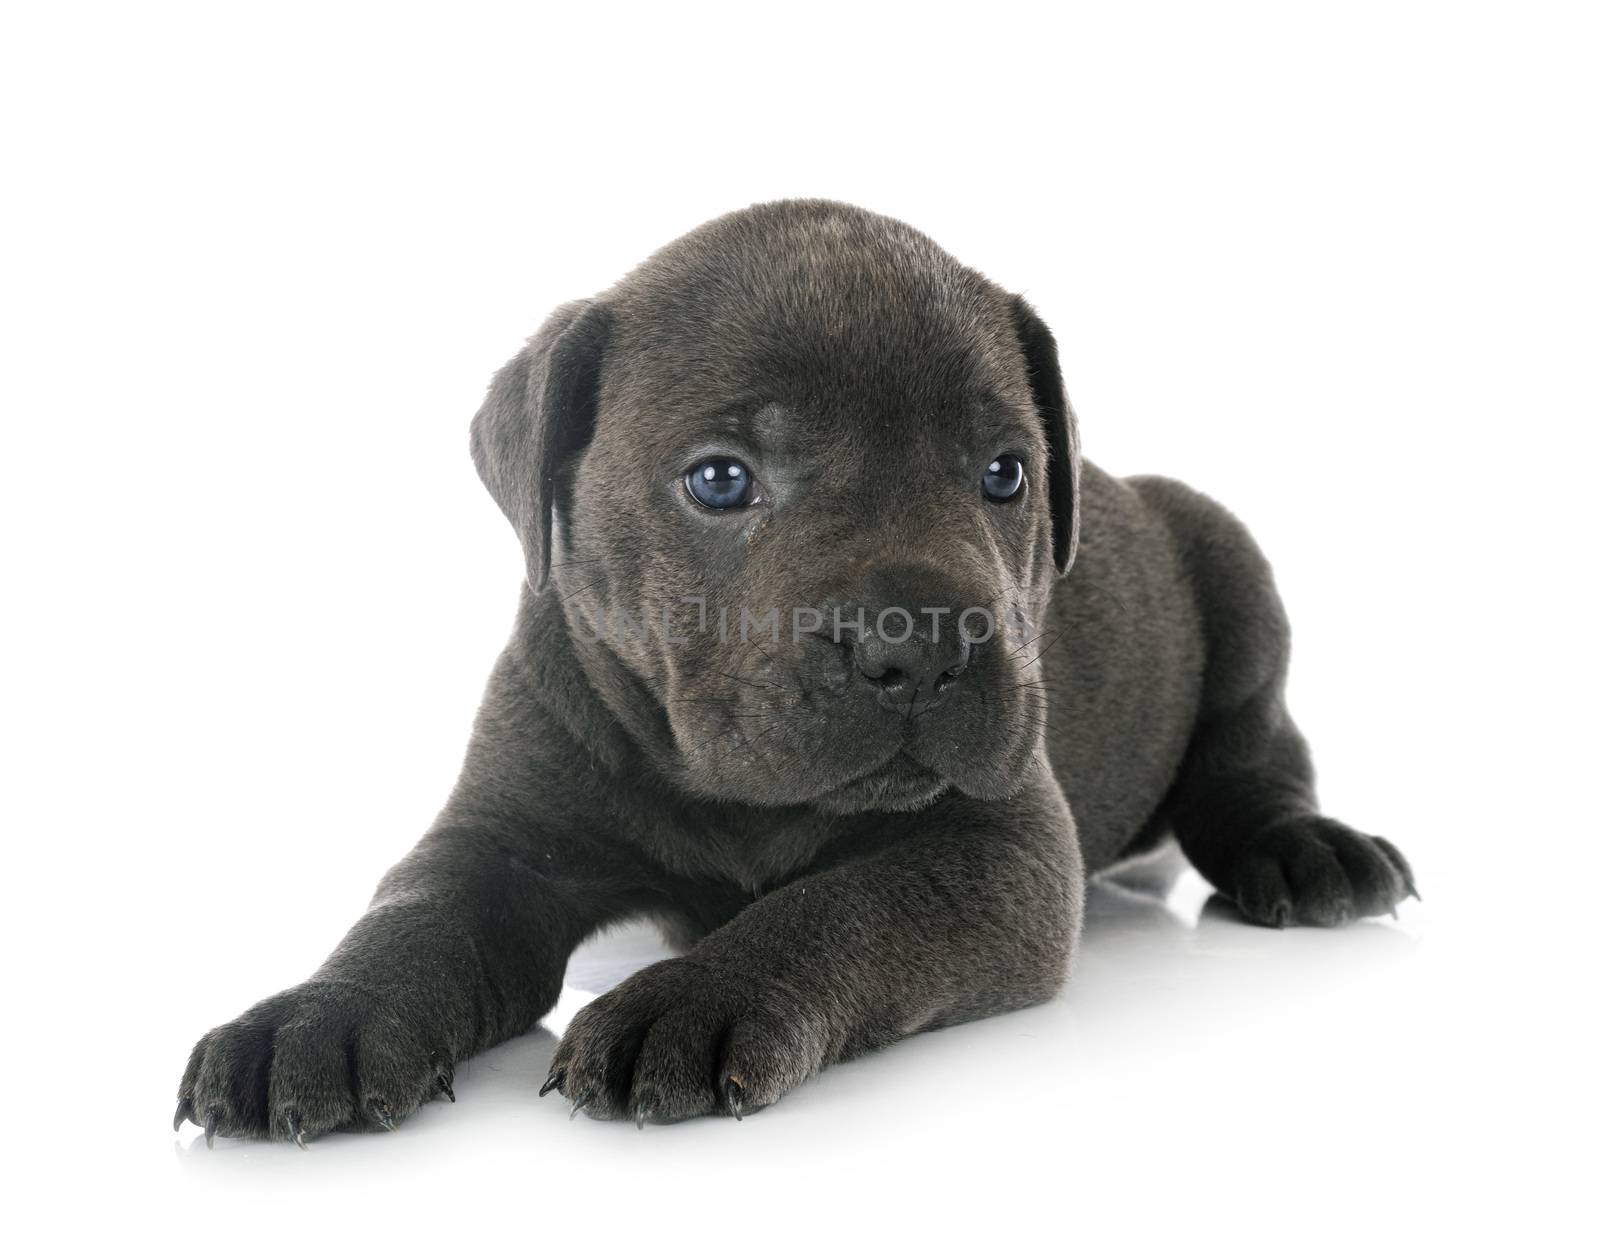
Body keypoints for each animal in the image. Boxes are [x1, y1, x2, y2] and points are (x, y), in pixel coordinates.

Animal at [175, 201, 1420, 1145]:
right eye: (720, 479)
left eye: (1005, 472)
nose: (921, 644)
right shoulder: (503, 836)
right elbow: (415, 912)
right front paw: (315, 1015)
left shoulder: (1000, 845)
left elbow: (841, 902)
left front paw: (698, 994)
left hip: (1232, 572)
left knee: (1252, 758)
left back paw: (1306, 849)